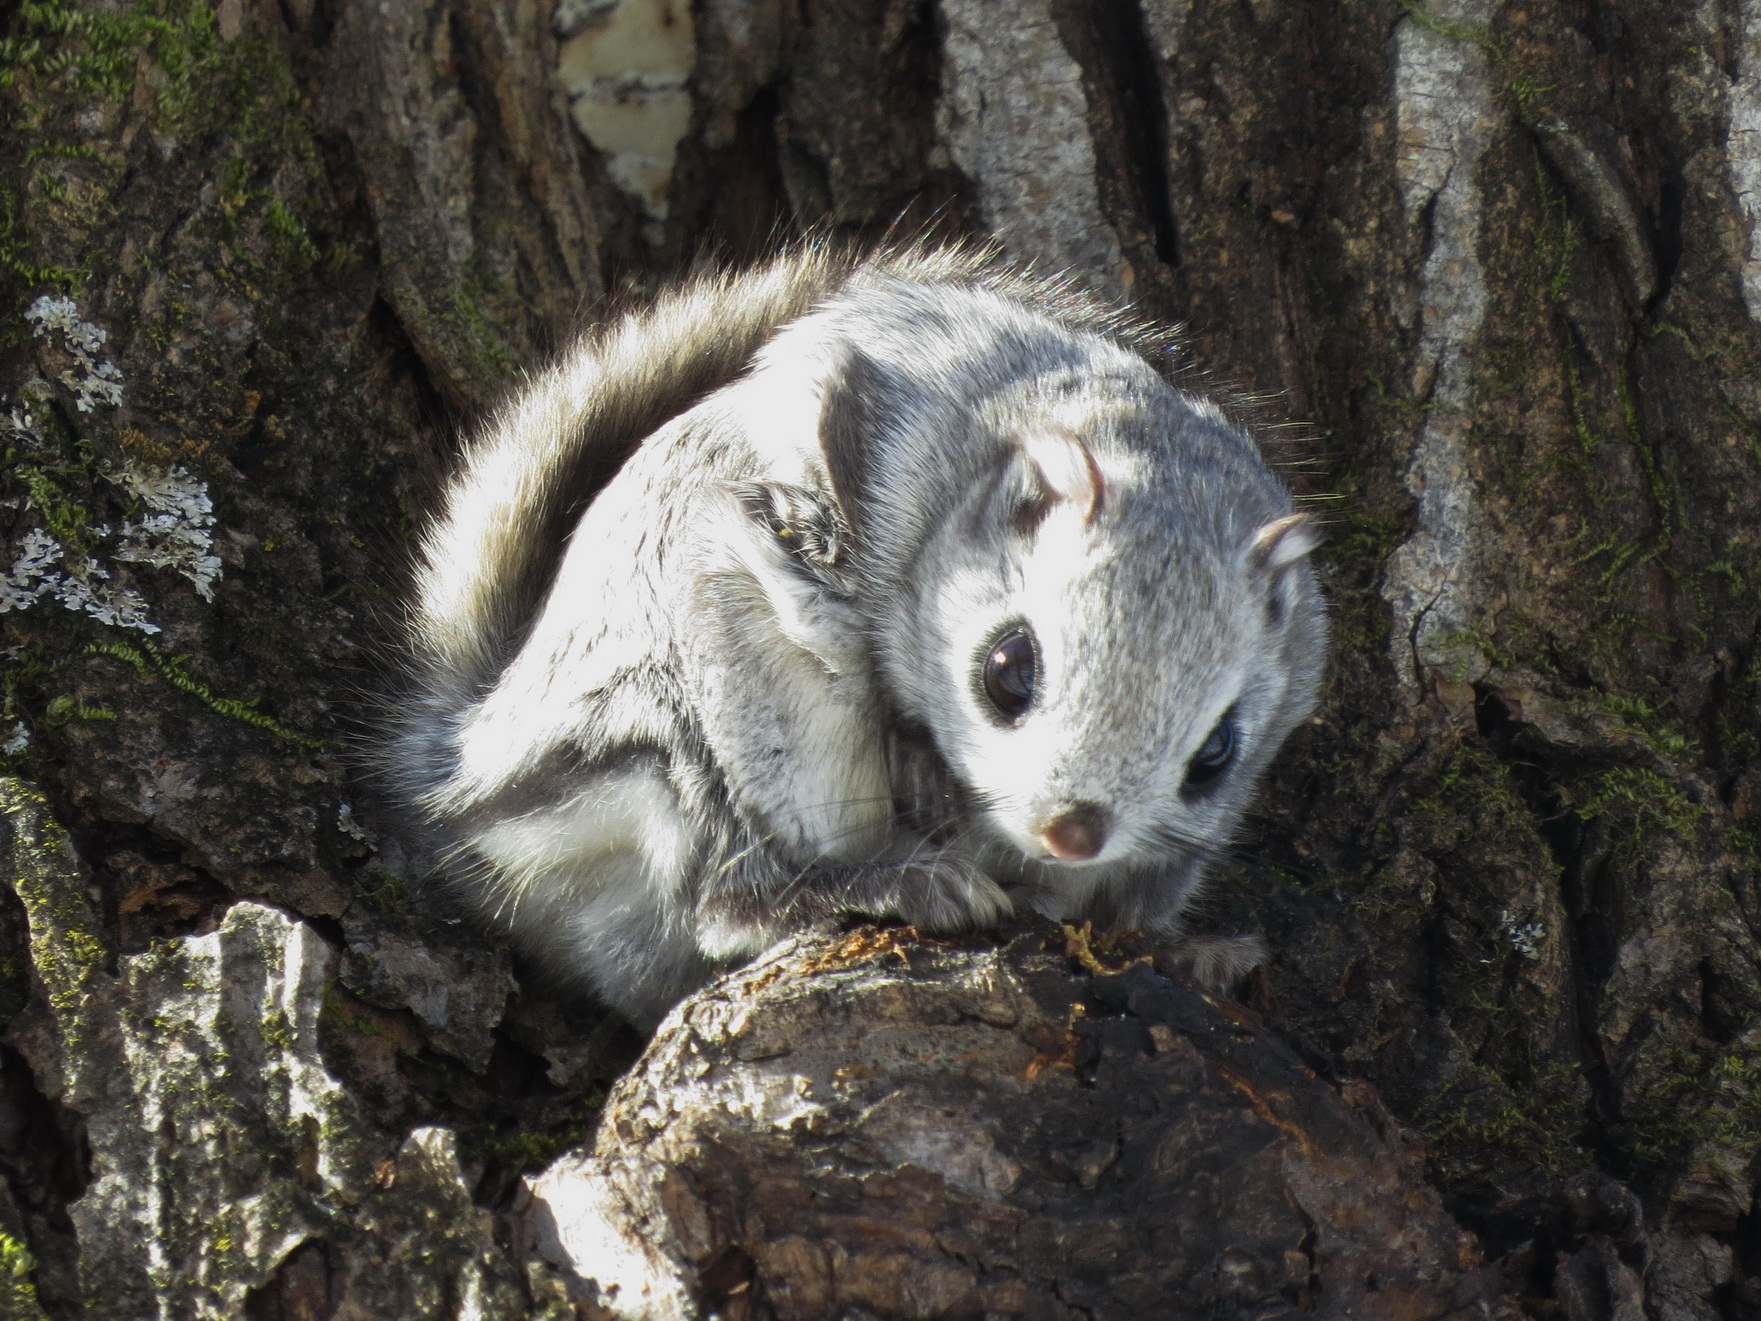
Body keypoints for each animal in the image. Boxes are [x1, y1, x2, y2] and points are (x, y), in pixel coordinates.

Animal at [385, 248, 1324, 1035]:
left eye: (1217, 751)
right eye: (1006, 670)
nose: (1073, 833)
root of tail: (472, 764)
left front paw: (1187, 947)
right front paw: (921, 768)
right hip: (686, 728)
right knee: (719, 895)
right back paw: (890, 881)